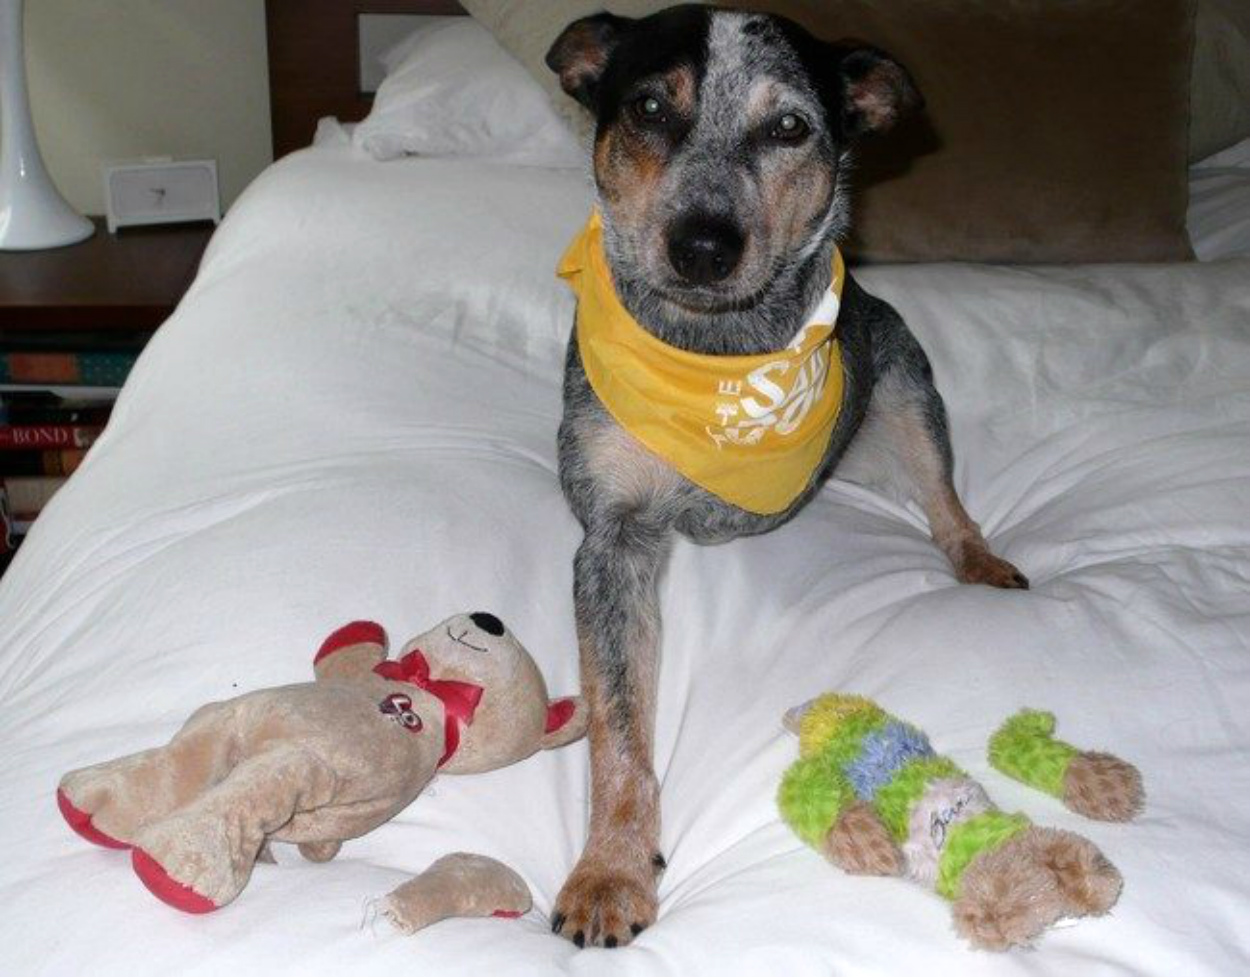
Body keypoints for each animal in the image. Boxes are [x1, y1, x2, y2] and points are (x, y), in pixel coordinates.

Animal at [545, 5, 1028, 948]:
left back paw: (982, 560)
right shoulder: (612, 534)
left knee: (945, 497)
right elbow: (620, 730)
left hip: (905, 381)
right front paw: (610, 870)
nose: (702, 244)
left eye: (790, 128)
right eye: (650, 107)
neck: (713, 358)